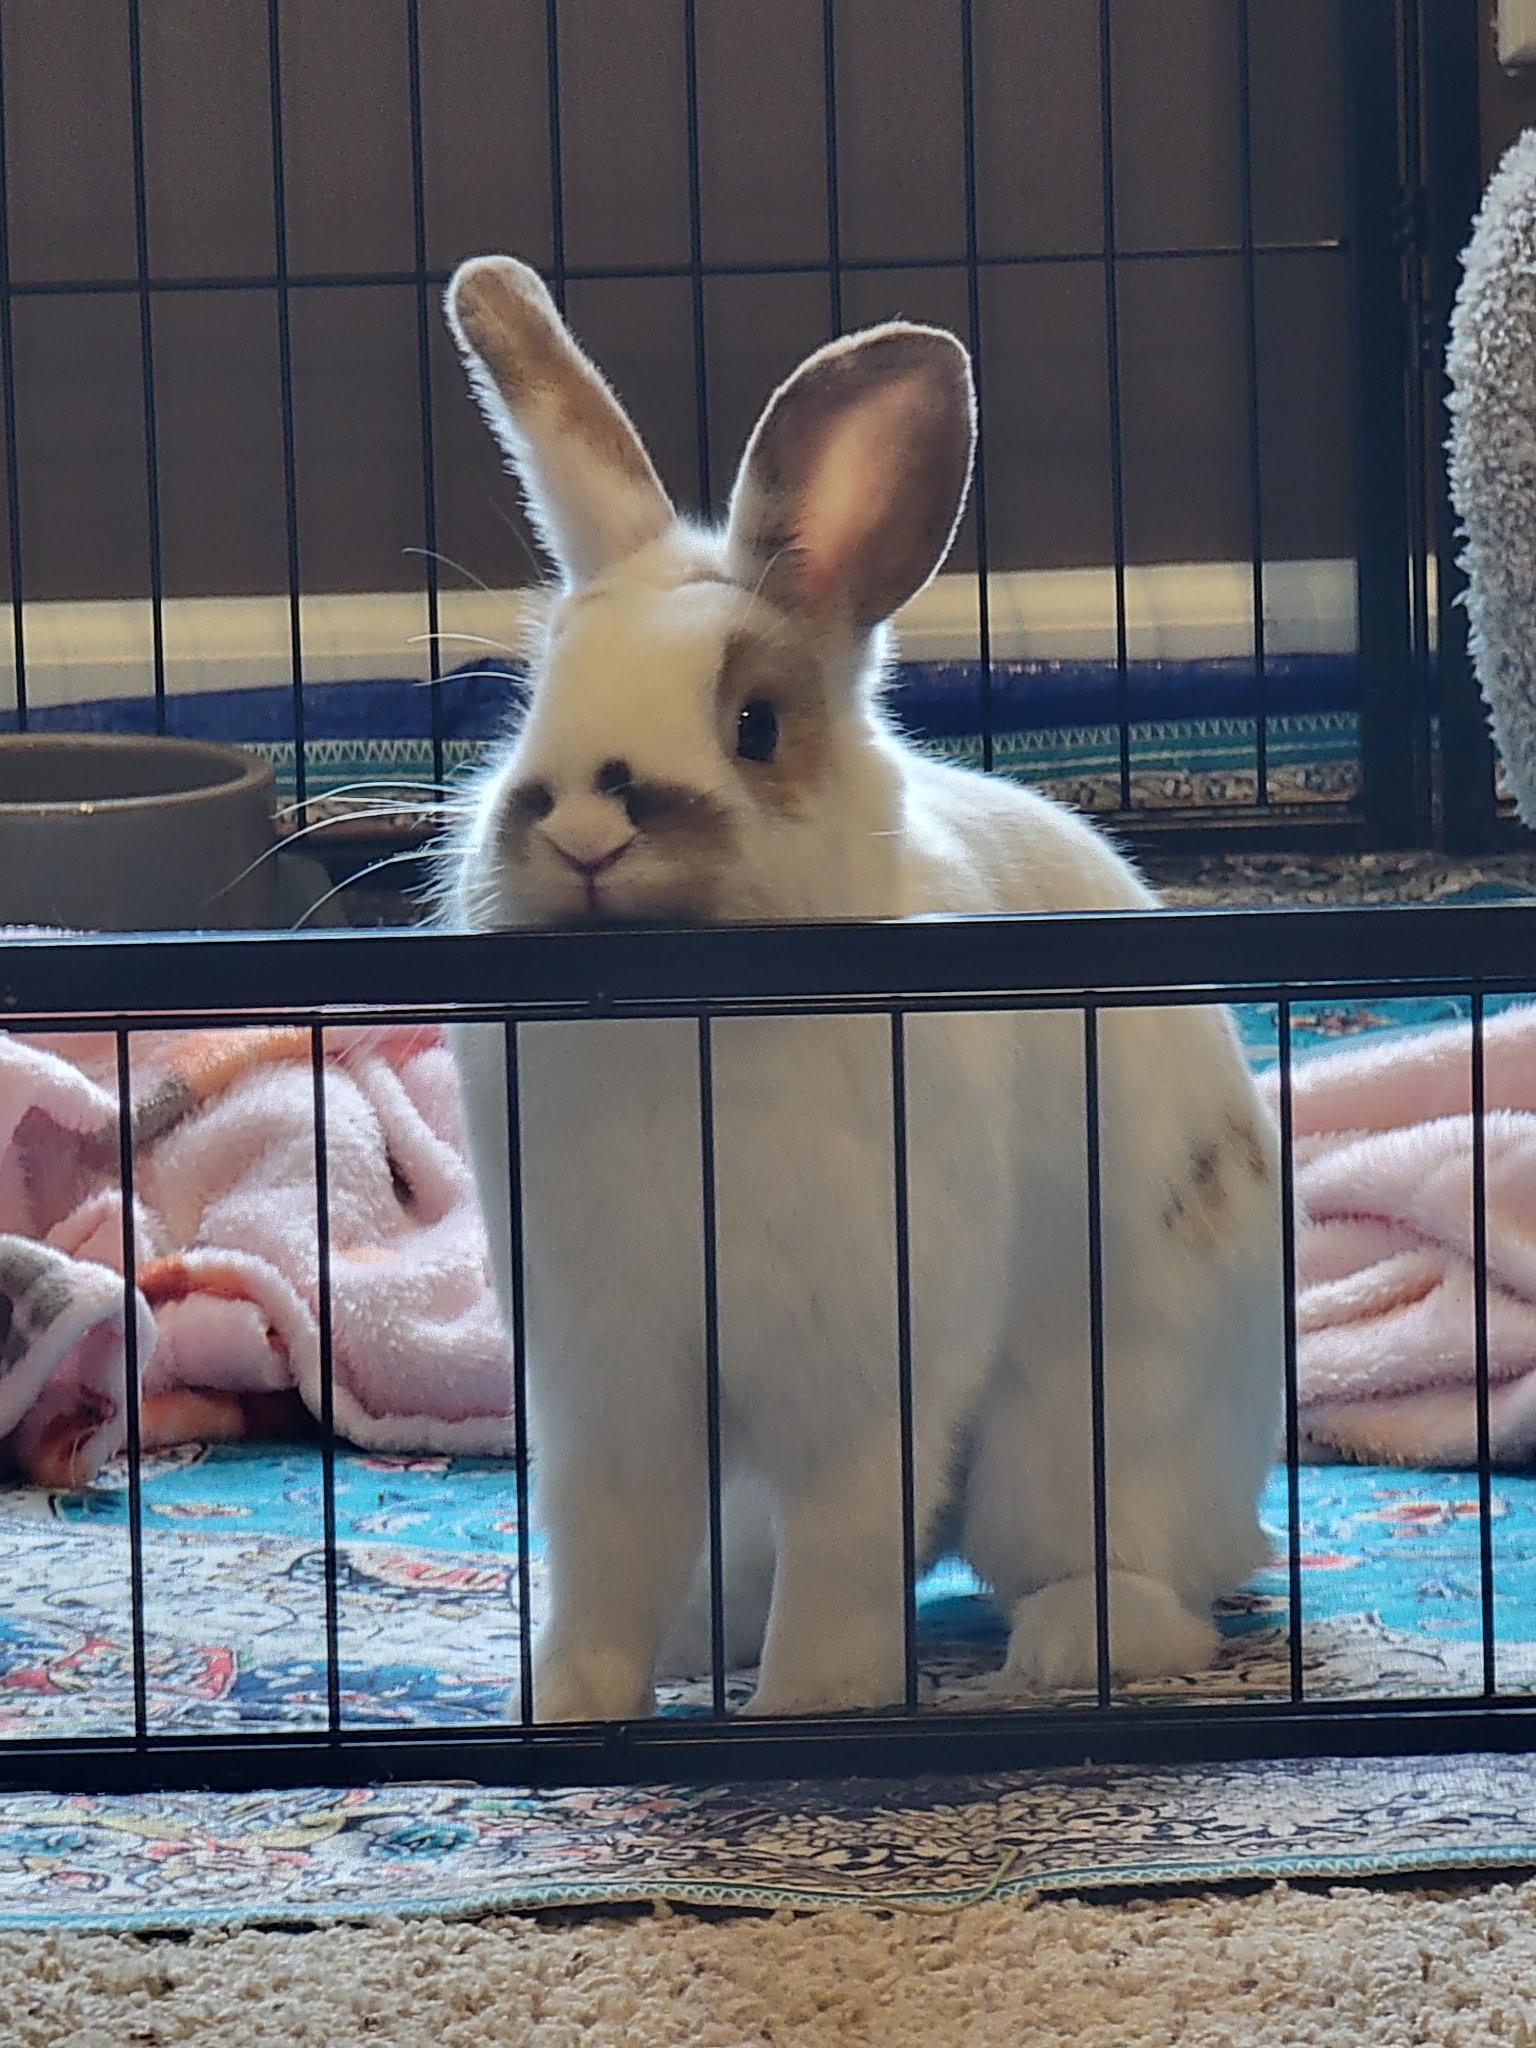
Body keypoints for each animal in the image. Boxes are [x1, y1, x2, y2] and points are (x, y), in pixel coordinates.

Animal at [439, 254, 1284, 1724]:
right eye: (535, 697)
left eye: (756, 724)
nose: (586, 827)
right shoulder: (609, 1384)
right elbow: (605, 1557)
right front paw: (569, 1710)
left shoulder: (863, 1369)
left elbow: (843, 1546)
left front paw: (812, 1712)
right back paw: (698, 1642)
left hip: (1076, 1451)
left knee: (1142, 1585)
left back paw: (1062, 1649)